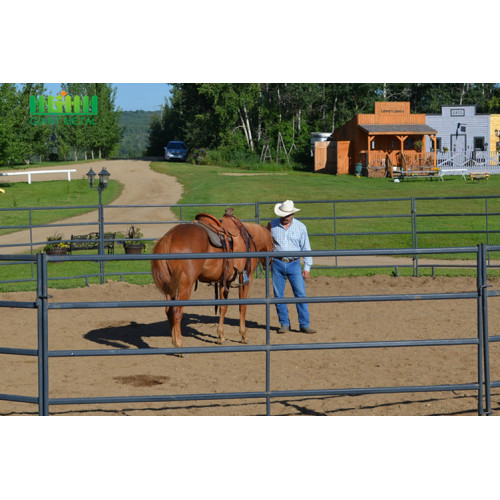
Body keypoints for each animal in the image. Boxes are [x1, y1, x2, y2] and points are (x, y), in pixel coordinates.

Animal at [152, 214, 274, 348]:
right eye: (274, 243)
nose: (270, 263)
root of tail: (169, 237)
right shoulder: (246, 278)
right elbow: (242, 306)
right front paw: (244, 336)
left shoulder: (224, 281)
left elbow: (223, 308)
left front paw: (221, 337)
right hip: (185, 285)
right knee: (177, 312)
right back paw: (179, 344)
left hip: (170, 287)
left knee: (168, 311)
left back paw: (174, 342)